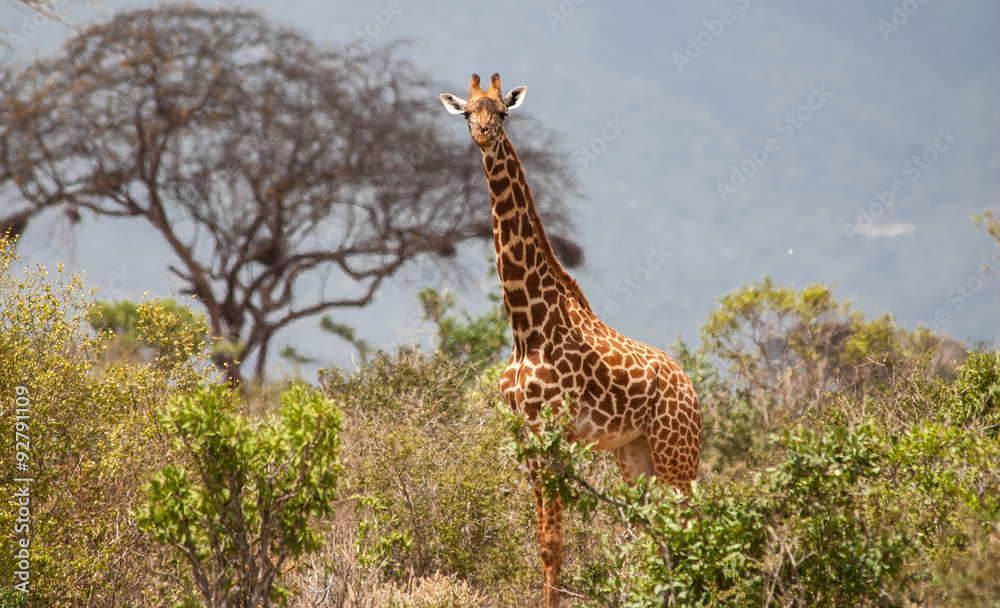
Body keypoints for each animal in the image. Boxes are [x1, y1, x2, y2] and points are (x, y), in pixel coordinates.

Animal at [440, 74, 702, 607]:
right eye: (467, 113)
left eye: (503, 112)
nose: (483, 135)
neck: (527, 326)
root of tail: (693, 393)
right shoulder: (525, 437)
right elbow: (543, 542)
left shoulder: (553, 433)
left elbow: (554, 543)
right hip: (636, 453)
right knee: (658, 531)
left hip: (677, 452)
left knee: (690, 528)